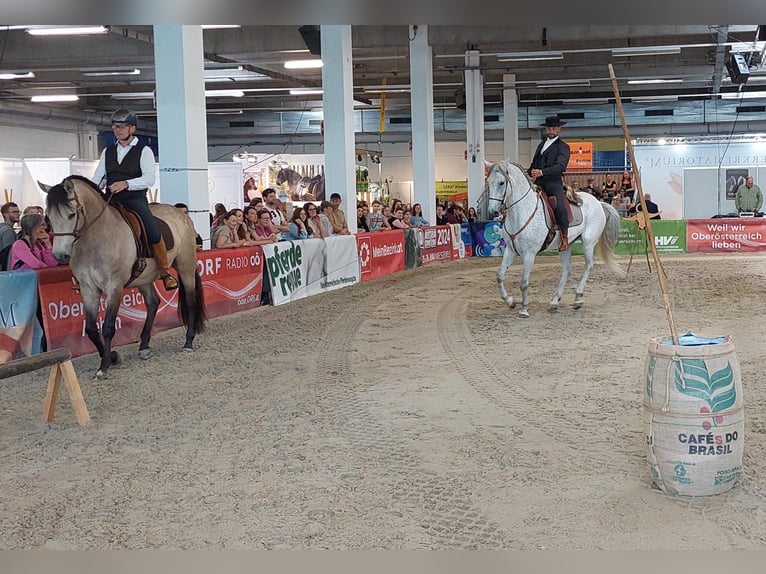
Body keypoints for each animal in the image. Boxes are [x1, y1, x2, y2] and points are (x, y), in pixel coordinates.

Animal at [40, 178, 206, 380]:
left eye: (71, 214)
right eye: (48, 218)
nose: (60, 256)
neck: (95, 240)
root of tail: (181, 214)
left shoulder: (114, 288)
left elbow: (108, 327)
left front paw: (104, 366)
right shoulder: (89, 289)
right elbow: (92, 329)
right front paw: (112, 356)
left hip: (186, 265)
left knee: (190, 300)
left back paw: (188, 342)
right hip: (144, 278)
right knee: (153, 303)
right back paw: (144, 346)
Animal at [488, 160, 628, 318]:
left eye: (501, 183)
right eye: (488, 182)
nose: (493, 212)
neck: (522, 211)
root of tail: (599, 203)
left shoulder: (529, 254)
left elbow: (523, 282)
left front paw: (524, 309)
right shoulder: (510, 251)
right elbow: (499, 275)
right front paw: (510, 301)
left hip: (588, 243)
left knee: (589, 265)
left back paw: (578, 298)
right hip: (565, 246)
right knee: (567, 270)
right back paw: (555, 301)